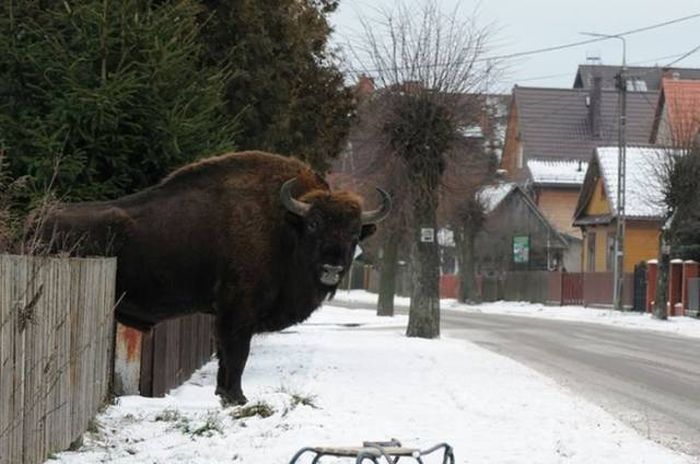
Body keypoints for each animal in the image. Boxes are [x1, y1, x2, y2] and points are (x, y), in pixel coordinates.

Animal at [38, 151, 392, 402]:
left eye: (354, 232)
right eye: (315, 224)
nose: (332, 268)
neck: (286, 226)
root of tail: (37, 220)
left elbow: (226, 357)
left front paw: (225, 394)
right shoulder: (237, 312)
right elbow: (236, 354)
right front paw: (236, 397)